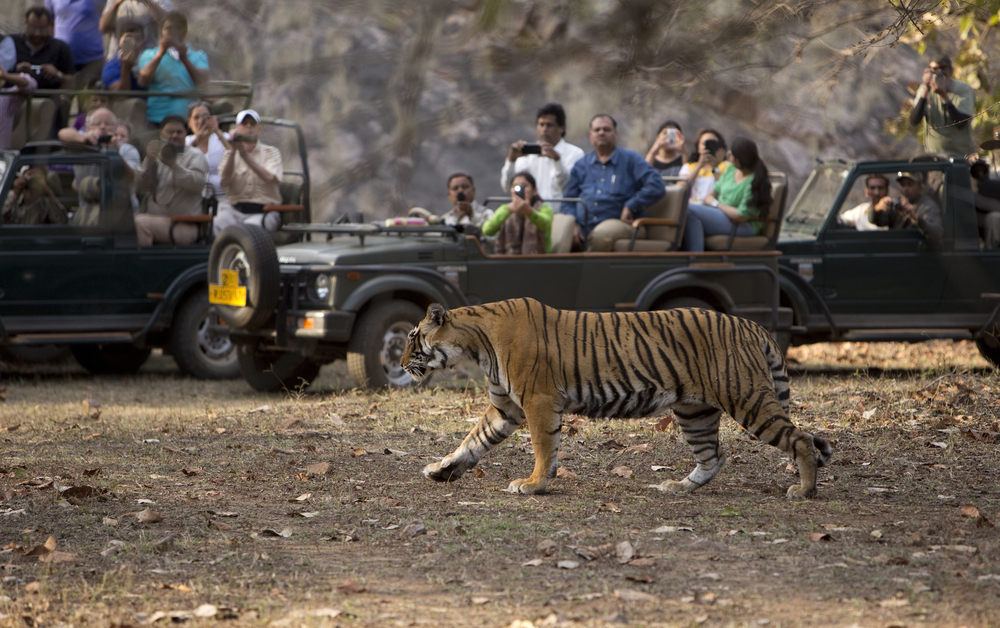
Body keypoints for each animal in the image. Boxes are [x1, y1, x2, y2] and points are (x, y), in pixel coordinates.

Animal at [400, 298, 832, 500]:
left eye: (413, 338)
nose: (402, 363)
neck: (475, 344)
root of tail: (750, 324)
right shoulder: (504, 407)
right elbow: (472, 441)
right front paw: (441, 469)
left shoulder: (538, 401)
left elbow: (543, 447)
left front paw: (534, 484)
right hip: (695, 411)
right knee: (713, 455)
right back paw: (678, 487)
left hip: (746, 397)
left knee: (800, 439)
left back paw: (804, 491)